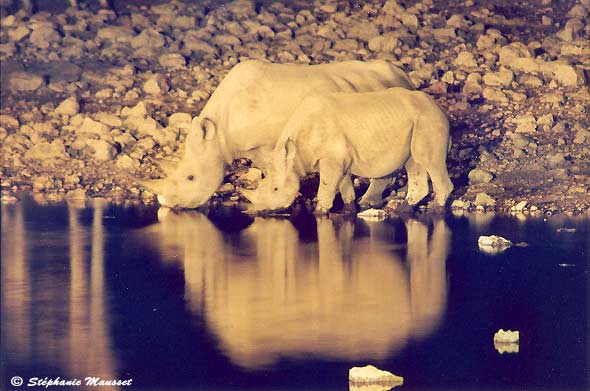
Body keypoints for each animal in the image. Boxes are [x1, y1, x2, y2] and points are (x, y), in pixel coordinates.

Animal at [243, 88, 456, 214]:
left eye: (275, 189)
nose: (256, 212)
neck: (294, 153)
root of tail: (440, 109)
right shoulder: (338, 159)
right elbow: (344, 187)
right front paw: (349, 207)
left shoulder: (333, 159)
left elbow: (326, 188)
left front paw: (320, 212)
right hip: (418, 121)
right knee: (414, 163)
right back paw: (402, 209)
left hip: (428, 120)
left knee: (429, 162)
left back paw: (436, 211)